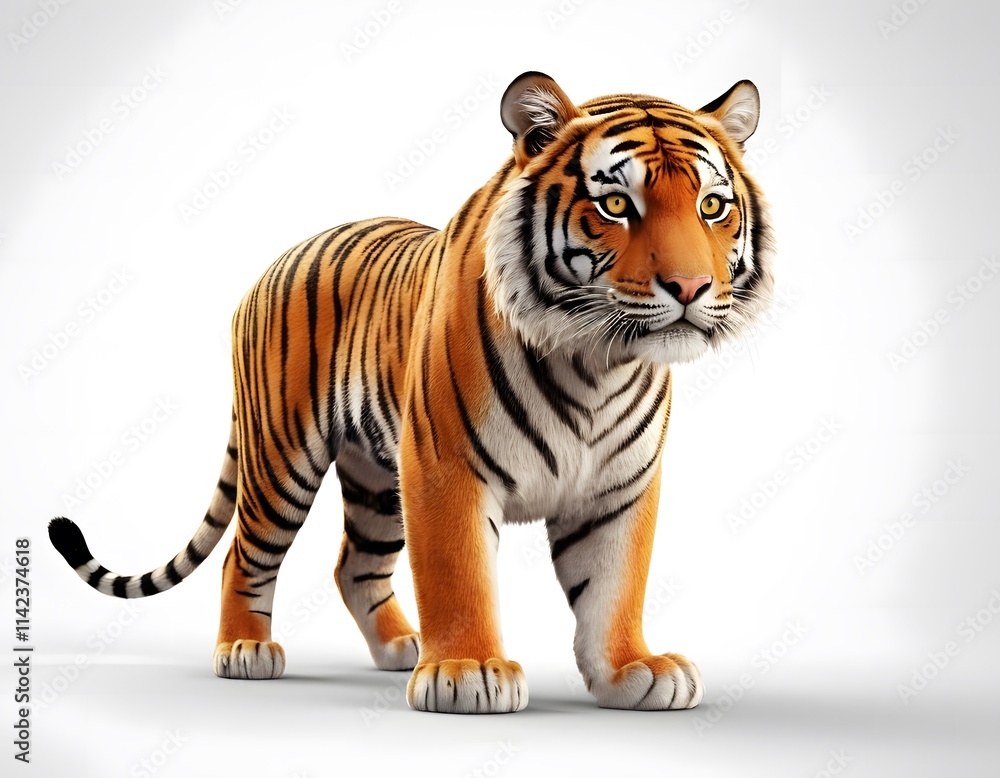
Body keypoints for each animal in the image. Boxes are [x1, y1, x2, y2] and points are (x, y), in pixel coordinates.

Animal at [49, 71, 774, 713]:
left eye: (712, 206)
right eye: (616, 205)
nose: (691, 288)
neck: (597, 362)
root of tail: (273, 263)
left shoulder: (620, 486)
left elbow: (615, 585)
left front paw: (633, 671)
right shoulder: (446, 468)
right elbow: (459, 575)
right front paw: (468, 672)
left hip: (378, 477)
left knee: (354, 566)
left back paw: (402, 646)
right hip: (283, 458)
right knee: (242, 556)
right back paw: (245, 651)